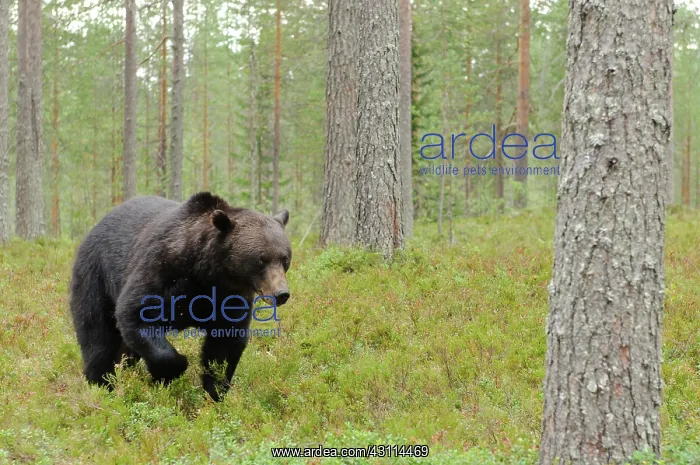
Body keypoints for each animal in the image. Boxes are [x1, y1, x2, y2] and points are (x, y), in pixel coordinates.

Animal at [69, 192, 292, 401]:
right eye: (261, 259)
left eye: (285, 258)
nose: (281, 293)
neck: (208, 274)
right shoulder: (165, 269)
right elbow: (135, 312)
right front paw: (172, 369)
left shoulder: (229, 298)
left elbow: (225, 343)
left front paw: (214, 392)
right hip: (96, 277)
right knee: (98, 337)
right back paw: (101, 383)